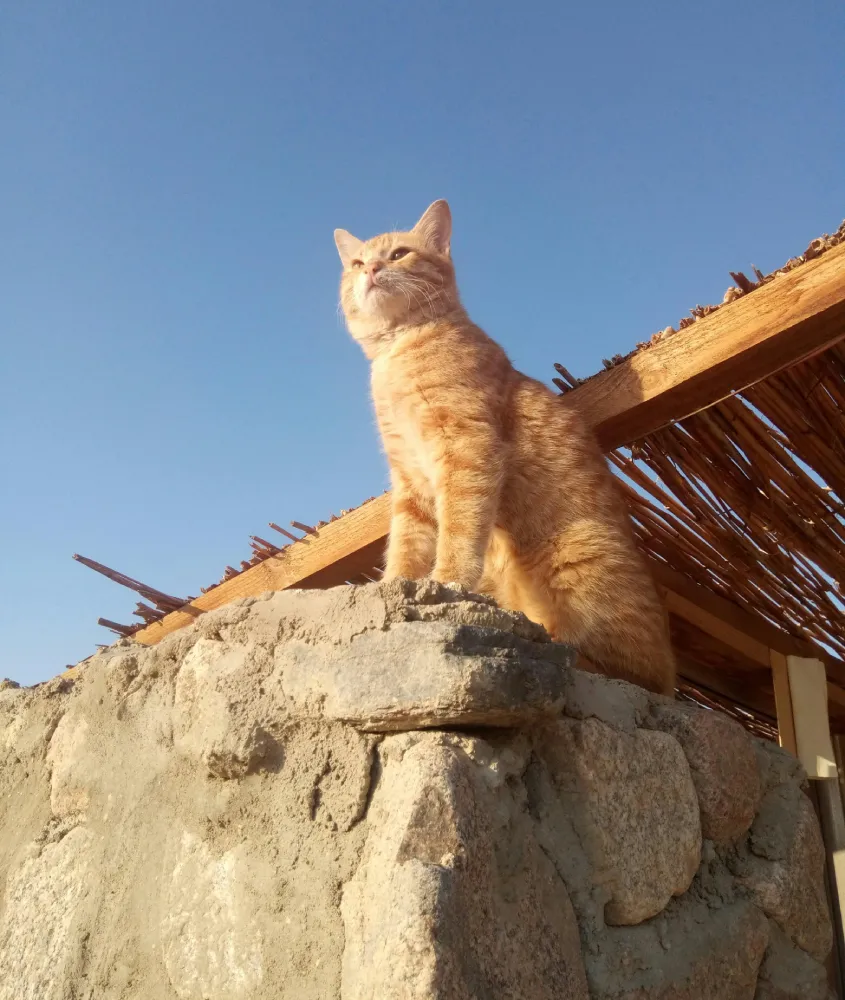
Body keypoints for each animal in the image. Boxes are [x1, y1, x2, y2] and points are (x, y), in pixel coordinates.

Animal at [332, 198, 676, 692]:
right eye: (357, 263)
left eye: (398, 254)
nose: (373, 269)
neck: (398, 351)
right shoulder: (409, 476)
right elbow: (406, 543)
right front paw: (394, 585)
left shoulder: (467, 448)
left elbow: (458, 531)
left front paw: (446, 581)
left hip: (577, 559)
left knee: (623, 670)